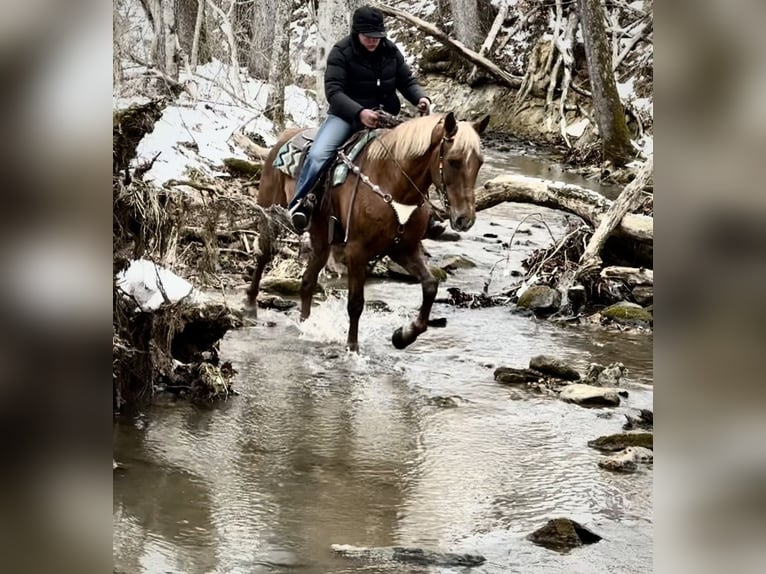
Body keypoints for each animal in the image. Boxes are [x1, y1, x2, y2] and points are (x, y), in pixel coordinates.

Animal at [247, 111, 490, 352]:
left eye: (479, 162)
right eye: (453, 161)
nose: (465, 219)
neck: (393, 183)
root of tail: (285, 135)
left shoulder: (404, 249)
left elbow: (430, 286)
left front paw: (403, 335)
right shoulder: (357, 251)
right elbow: (356, 302)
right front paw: (352, 348)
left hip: (321, 238)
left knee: (307, 281)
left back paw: (306, 325)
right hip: (270, 214)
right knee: (263, 254)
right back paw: (250, 307)